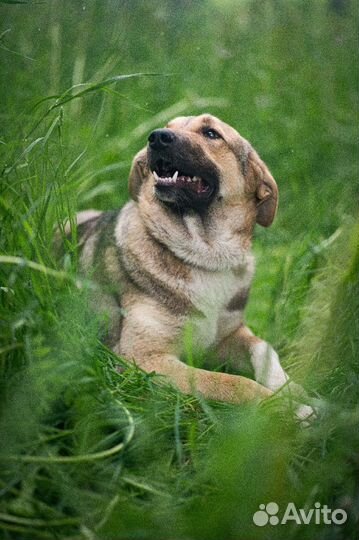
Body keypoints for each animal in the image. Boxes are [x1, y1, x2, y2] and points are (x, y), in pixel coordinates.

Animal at [69, 114, 314, 416]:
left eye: (211, 133)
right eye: (168, 127)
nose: (156, 137)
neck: (205, 255)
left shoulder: (229, 335)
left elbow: (264, 348)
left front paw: (293, 391)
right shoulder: (143, 358)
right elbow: (233, 382)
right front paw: (288, 408)